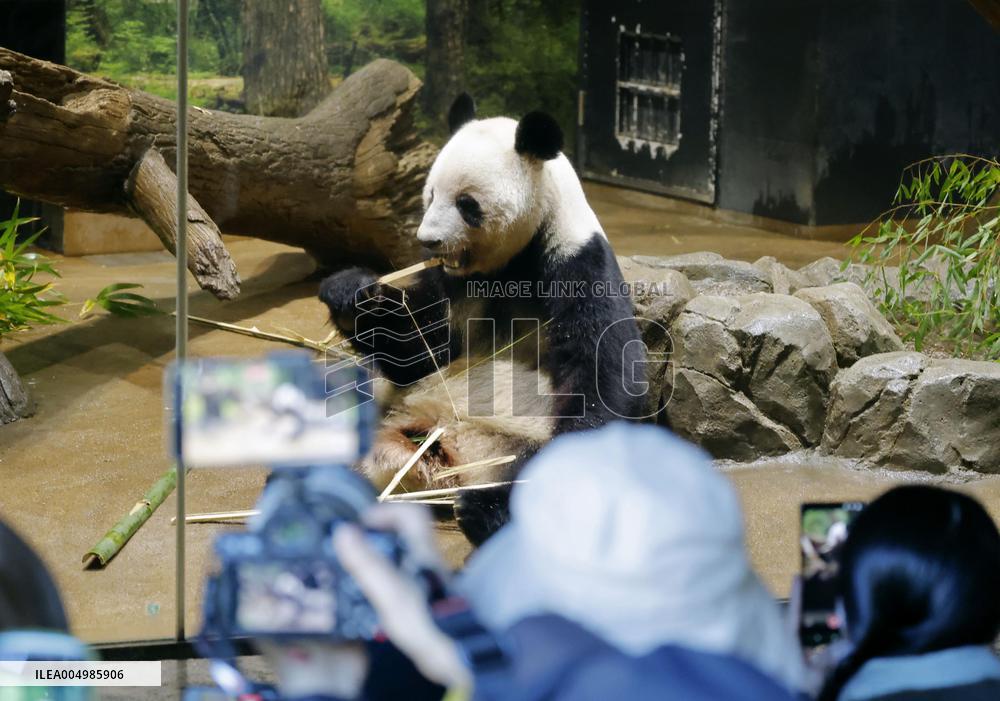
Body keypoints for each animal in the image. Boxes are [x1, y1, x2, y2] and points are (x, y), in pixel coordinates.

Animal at [319, 94, 646, 544]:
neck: (513, 262)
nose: (427, 241)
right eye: (429, 195)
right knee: (344, 402)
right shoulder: (454, 283)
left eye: (466, 203)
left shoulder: (576, 265)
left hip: (515, 442)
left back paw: (484, 510)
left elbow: (603, 371)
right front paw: (352, 291)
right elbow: (421, 353)